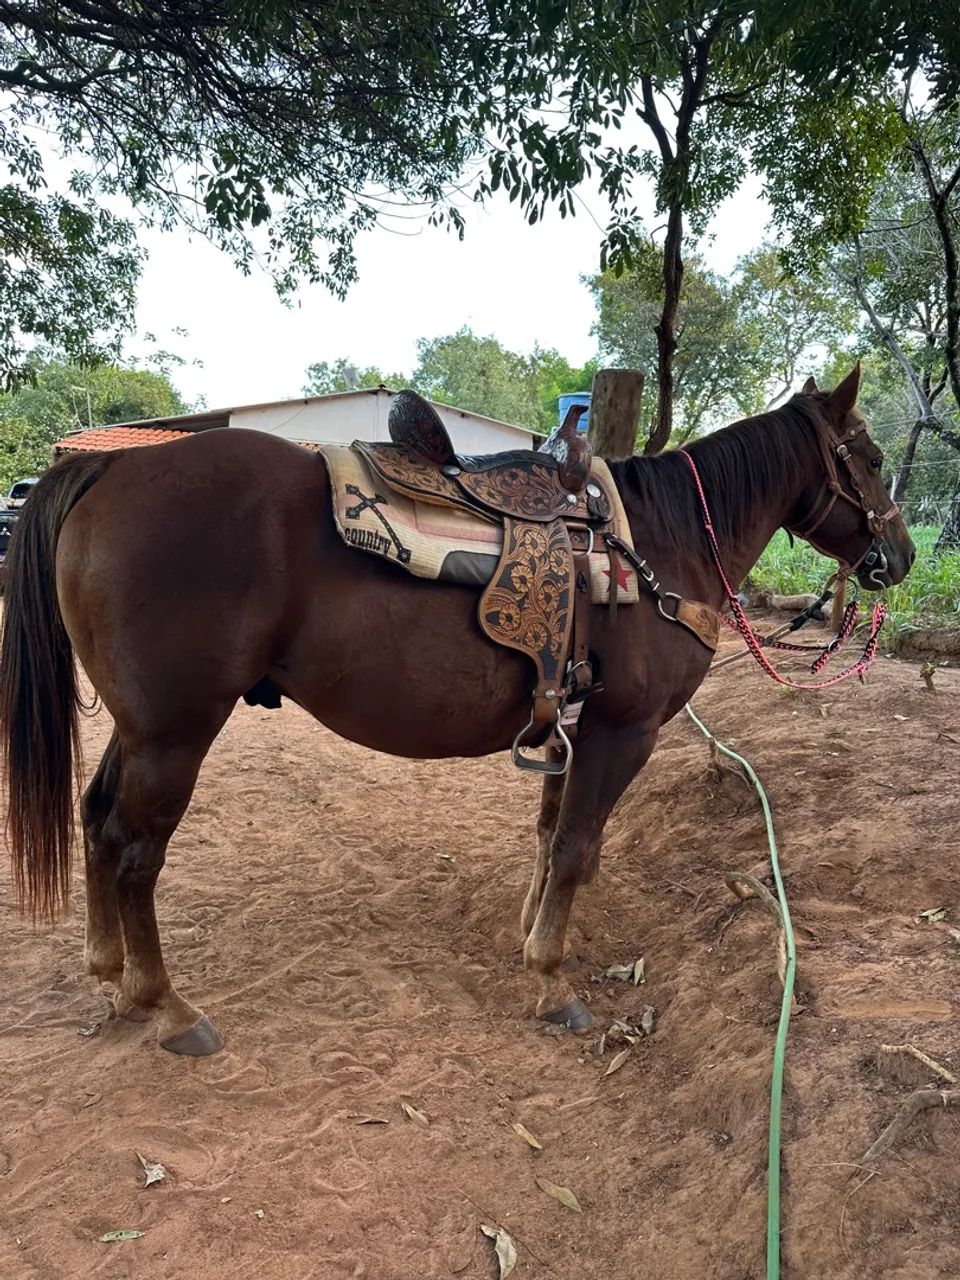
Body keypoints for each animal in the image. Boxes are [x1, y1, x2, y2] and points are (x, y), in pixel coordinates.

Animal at [0, 364, 914, 1056]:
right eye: (868, 457)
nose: (901, 557)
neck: (658, 543)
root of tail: (110, 469)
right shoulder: (623, 733)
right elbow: (577, 848)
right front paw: (552, 982)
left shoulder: (574, 724)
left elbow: (552, 835)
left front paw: (530, 937)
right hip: (176, 732)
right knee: (134, 850)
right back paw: (168, 1007)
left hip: (140, 727)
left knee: (96, 819)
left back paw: (114, 979)